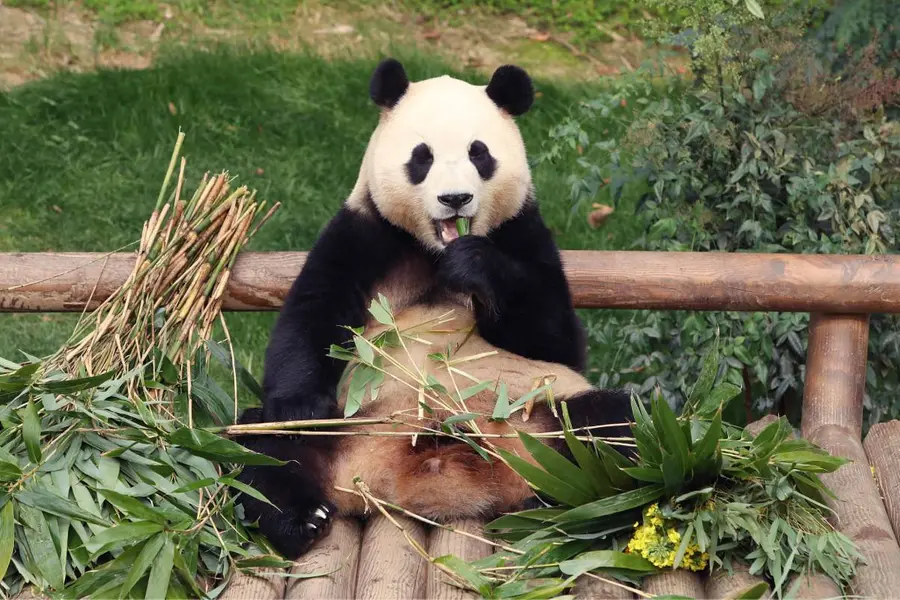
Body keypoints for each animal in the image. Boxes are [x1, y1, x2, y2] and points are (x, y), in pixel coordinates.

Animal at [235, 58, 635, 559]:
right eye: (421, 157)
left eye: (479, 154)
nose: (455, 199)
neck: (434, 250)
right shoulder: (366, 231)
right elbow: (312, 315)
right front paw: (302, 404)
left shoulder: (524, 231)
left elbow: (555, 340)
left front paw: (473, 263)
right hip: (348, 424)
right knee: (261, 440)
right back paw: (300, 518)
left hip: (538, 417)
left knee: (614, 422)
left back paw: (567, 502)